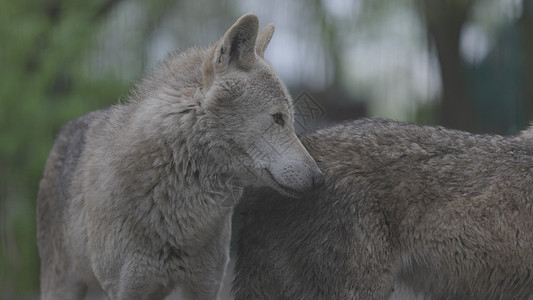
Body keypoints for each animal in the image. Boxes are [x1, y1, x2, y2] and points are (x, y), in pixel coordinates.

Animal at [36, 13, 324, 300]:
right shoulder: (127, 290)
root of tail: (64, 130)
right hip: (63, 286)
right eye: (278, 118)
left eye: (290, 119)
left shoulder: (206, 285)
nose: (320, 179)